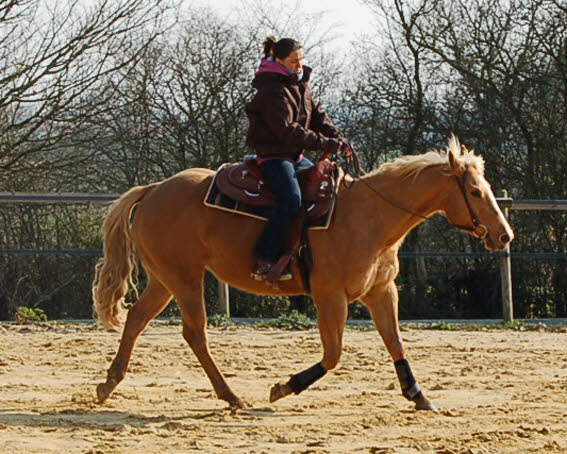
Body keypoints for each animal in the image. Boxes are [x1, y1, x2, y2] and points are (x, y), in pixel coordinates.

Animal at [92, 136, 516, 412]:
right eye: (474, 192)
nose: (504, 235)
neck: (369, 216)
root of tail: (153, 189)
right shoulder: (330, 297)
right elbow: (333, 354)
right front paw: (283, 387)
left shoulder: (382, 292)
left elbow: (395, 343)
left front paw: (418, 395)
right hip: (185, 279)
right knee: (195, 334)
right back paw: (230, 395)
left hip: (165, 279)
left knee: (136, 319)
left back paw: (108, 384)